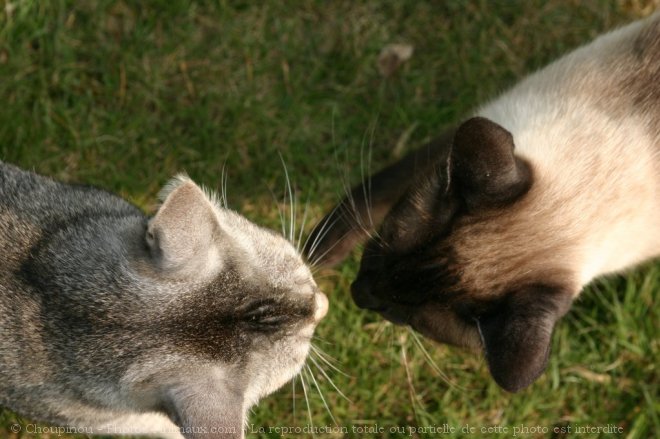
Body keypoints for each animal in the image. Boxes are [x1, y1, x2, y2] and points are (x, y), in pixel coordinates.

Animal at [306, 14, 660, 392]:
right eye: (382, 246)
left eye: (401, 315)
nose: (358, 293)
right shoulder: (454, 143)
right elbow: (378, 189)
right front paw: (318, 252)